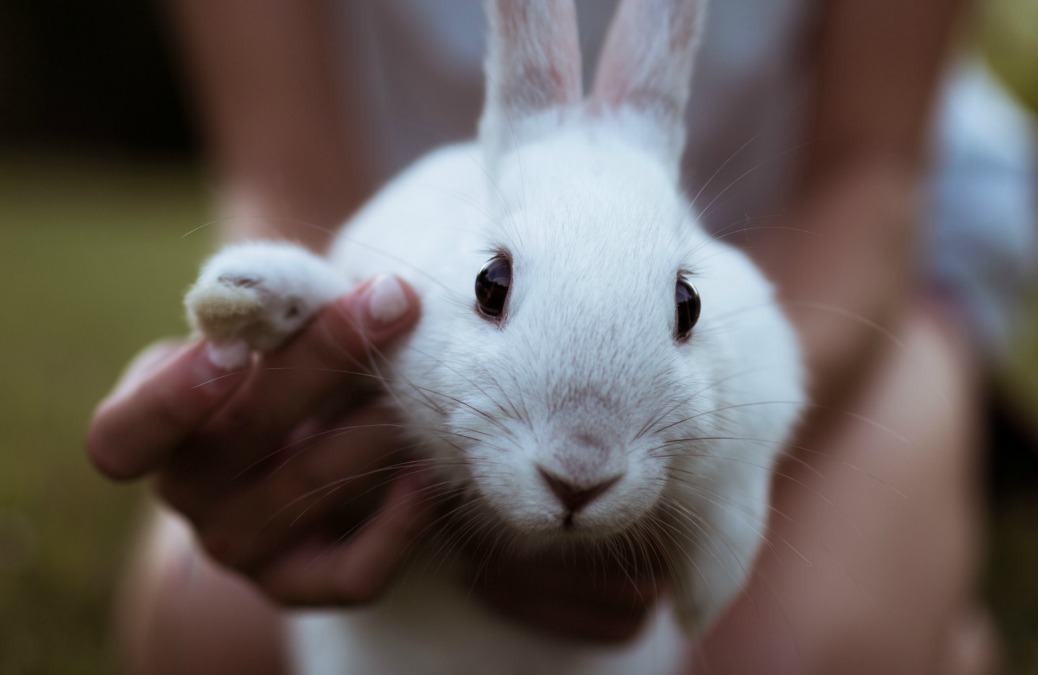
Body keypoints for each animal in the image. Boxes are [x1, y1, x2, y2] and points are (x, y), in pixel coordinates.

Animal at [186, 1, 801, 668]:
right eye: (490, 283)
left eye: (688, 305)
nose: (577, 475)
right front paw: (241, 296)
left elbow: (735, 495)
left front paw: (706, 598)